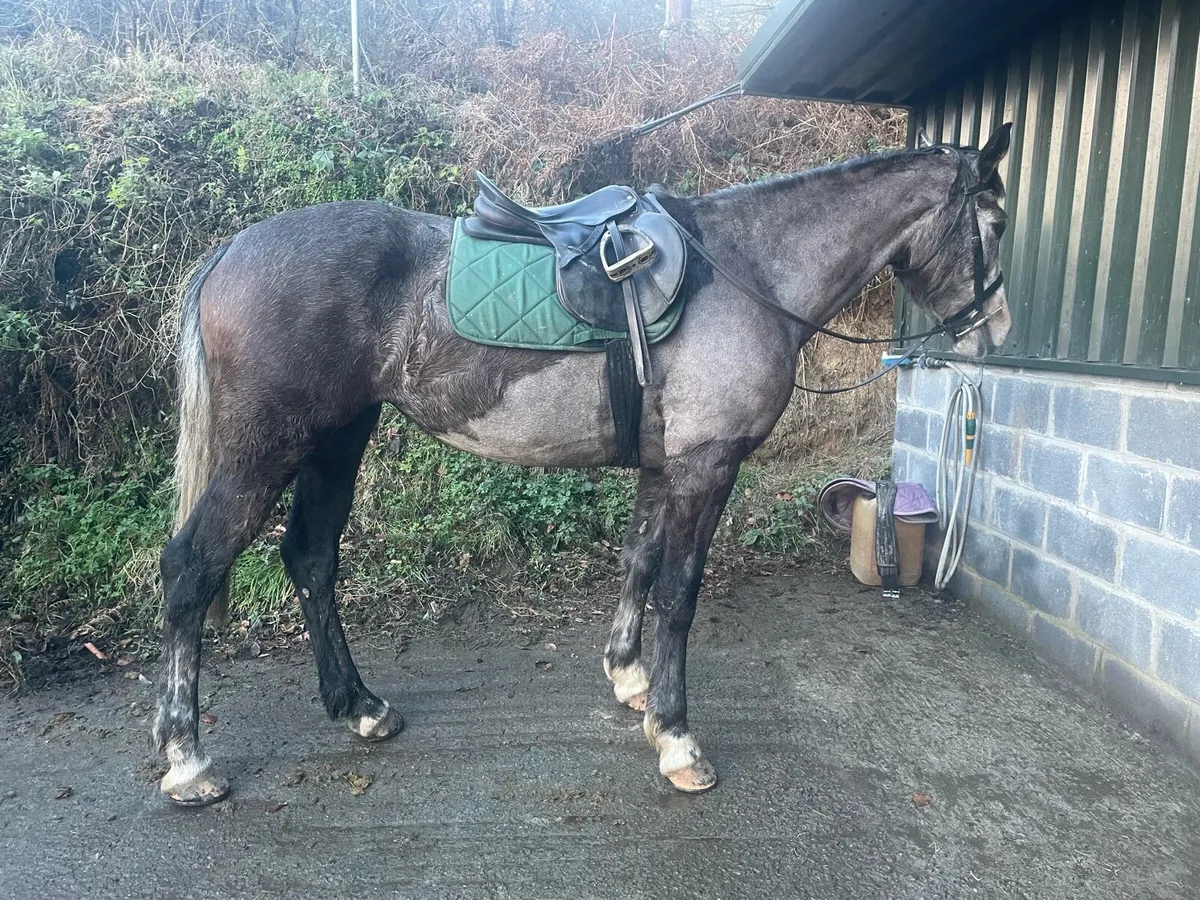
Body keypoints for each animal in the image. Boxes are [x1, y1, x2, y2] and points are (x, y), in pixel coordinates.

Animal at [151, 125, 1013, 805]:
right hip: (267, 451)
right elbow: (679, 592)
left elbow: (638, 561)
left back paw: (359, 706)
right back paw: (188, 757)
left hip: (337, 440)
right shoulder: (708, 466)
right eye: (997, 222)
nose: (994, 335)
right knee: (191, 568)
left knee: (311, 558)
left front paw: (629, 679)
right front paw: (677, 738)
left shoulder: (665, 466)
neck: (748, 270)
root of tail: (232, 249)